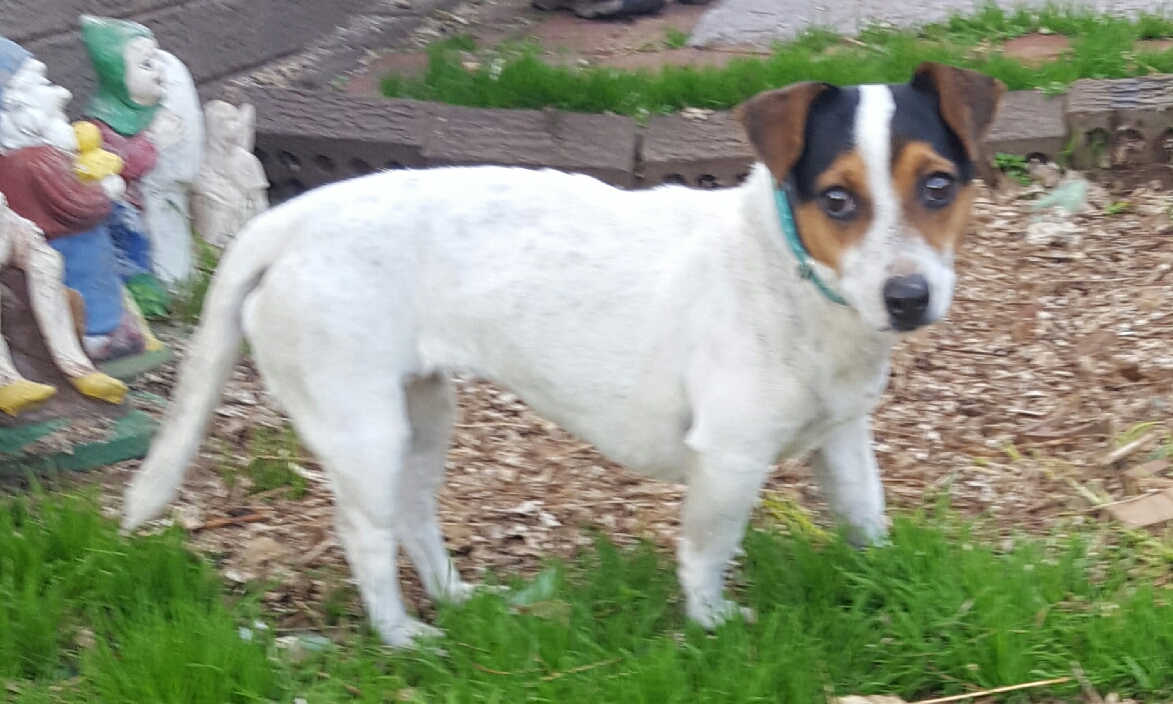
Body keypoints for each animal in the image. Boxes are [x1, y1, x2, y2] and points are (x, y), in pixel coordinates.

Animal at [123, 62, 1005, 647]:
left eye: (936, 186)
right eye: (836, 199)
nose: (907, 297)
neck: (792, 277)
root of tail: (286, 221)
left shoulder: (843, 440)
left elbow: (866, 519)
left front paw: (885, 585)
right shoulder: (728, 459)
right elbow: (706, 553)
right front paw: (712, 625)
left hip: (422, 412)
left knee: (413, 514)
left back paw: (459, 598)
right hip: (360, 430)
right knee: (366, 536)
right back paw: (403, 636)